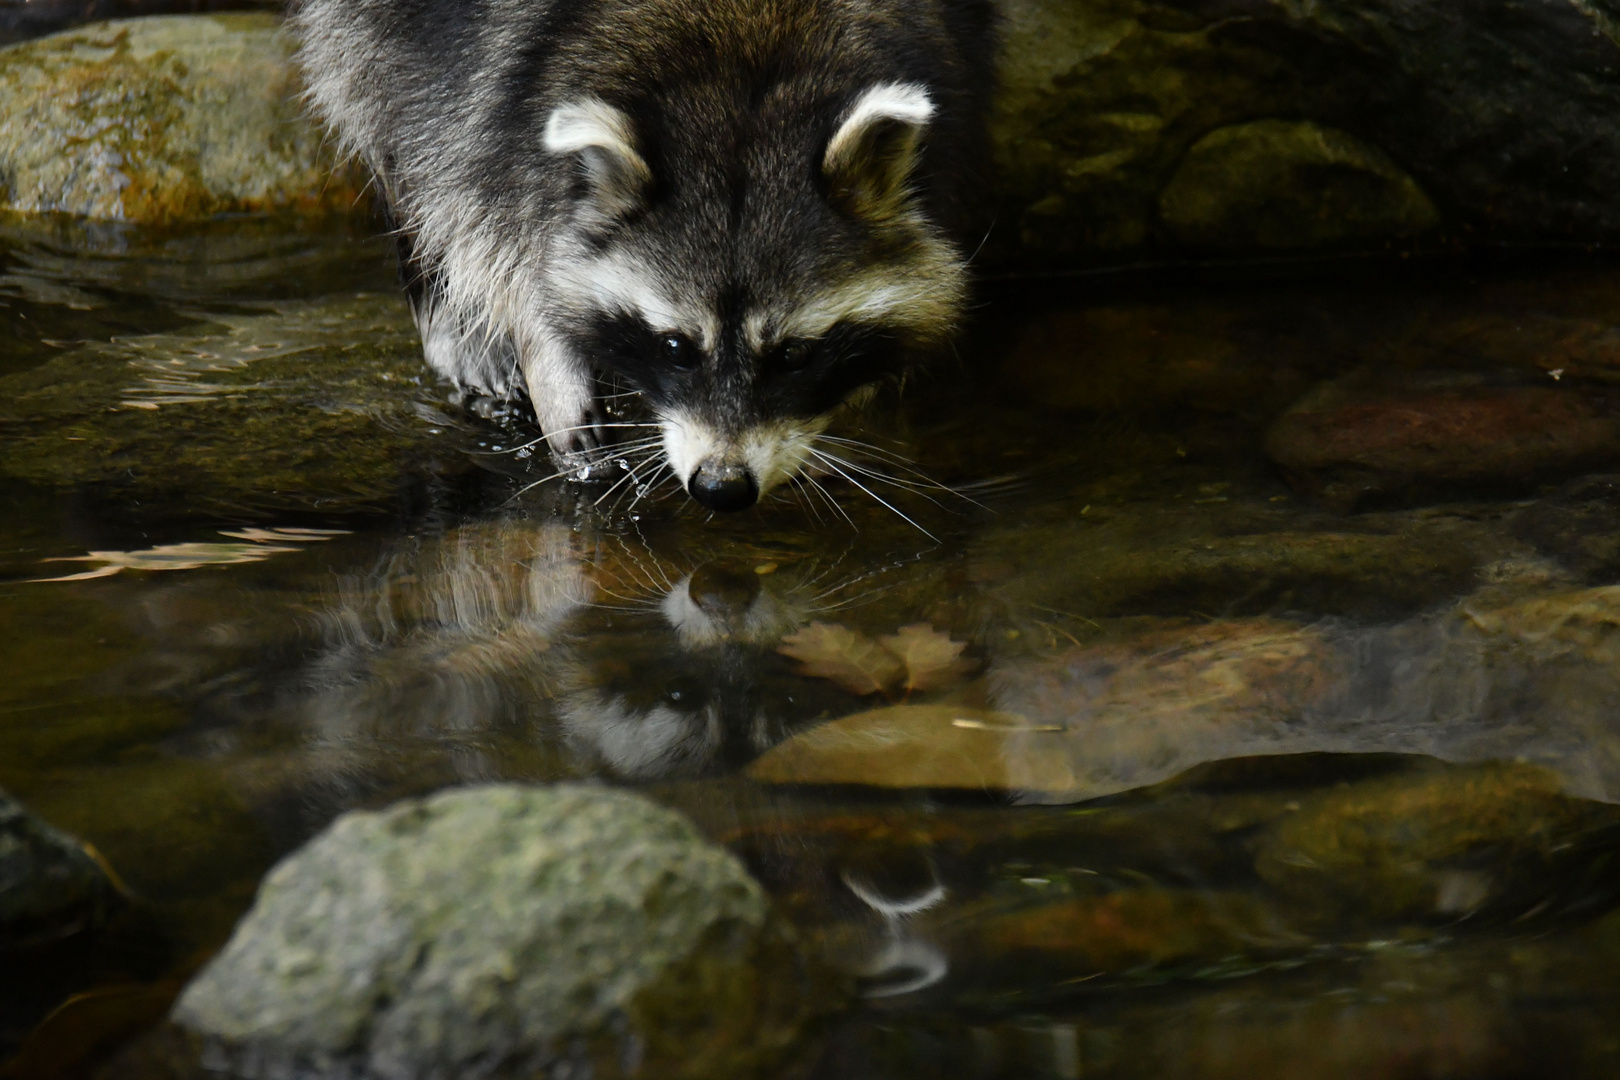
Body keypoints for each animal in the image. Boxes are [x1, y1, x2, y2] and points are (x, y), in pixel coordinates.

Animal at [293, 0, 997, 511]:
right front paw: (548, 350)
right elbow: (487, 204)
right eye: (676, 347)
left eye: (795, 354)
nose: (720, 487)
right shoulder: (498, 76)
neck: (743, 65)